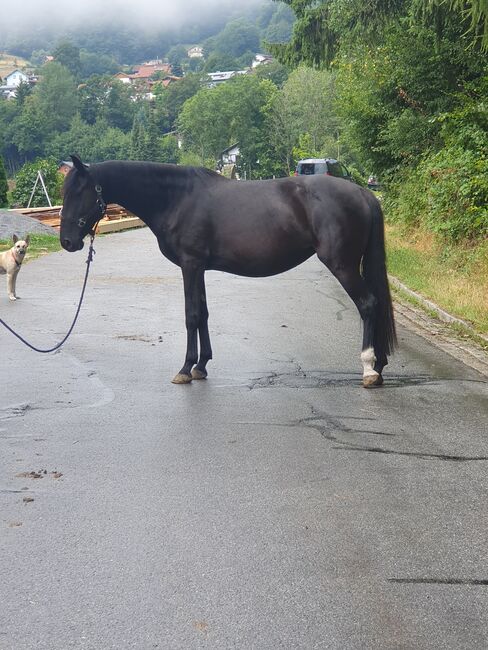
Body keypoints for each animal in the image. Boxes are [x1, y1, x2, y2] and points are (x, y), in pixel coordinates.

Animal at [61, 153, 396, 384]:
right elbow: (203, 313)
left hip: (343, 265)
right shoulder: (199, 268)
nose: (66, 241)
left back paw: (369, 367)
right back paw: (379, 364)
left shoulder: (190, 265)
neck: (175, 198)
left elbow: (191, 315)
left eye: (79, 192)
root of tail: (362, 193)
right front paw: (201, 366)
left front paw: (185, 368)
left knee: (368, 304)